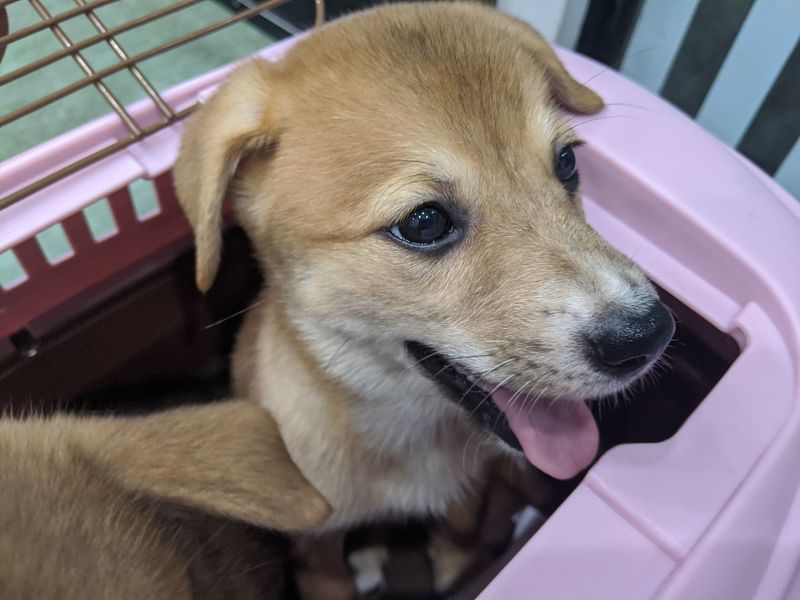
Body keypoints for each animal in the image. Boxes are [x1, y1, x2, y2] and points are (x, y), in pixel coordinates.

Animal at [174, 1, 674, 594]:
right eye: (424, 222)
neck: (412, 435)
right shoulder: (316, 548)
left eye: (568, 163)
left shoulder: (471, 488)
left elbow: (459, 534)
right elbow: (332, 578)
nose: (648, 335)